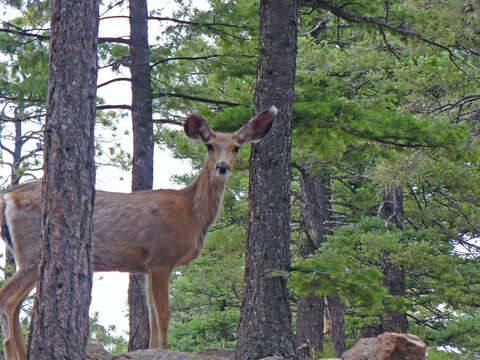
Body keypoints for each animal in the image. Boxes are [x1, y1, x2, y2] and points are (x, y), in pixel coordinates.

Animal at [0, 106, 278, 360]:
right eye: (209, 145)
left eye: (236, 147)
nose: (222, 167)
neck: (191, 213)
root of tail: (7, 197)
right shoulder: (161, 258)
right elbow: (164, 315)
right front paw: (165, 350)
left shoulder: (146, 266)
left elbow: (152, 318)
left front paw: (153, 349)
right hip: (33, 252)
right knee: (8, 299)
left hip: (25, 255)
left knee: (16, 305)